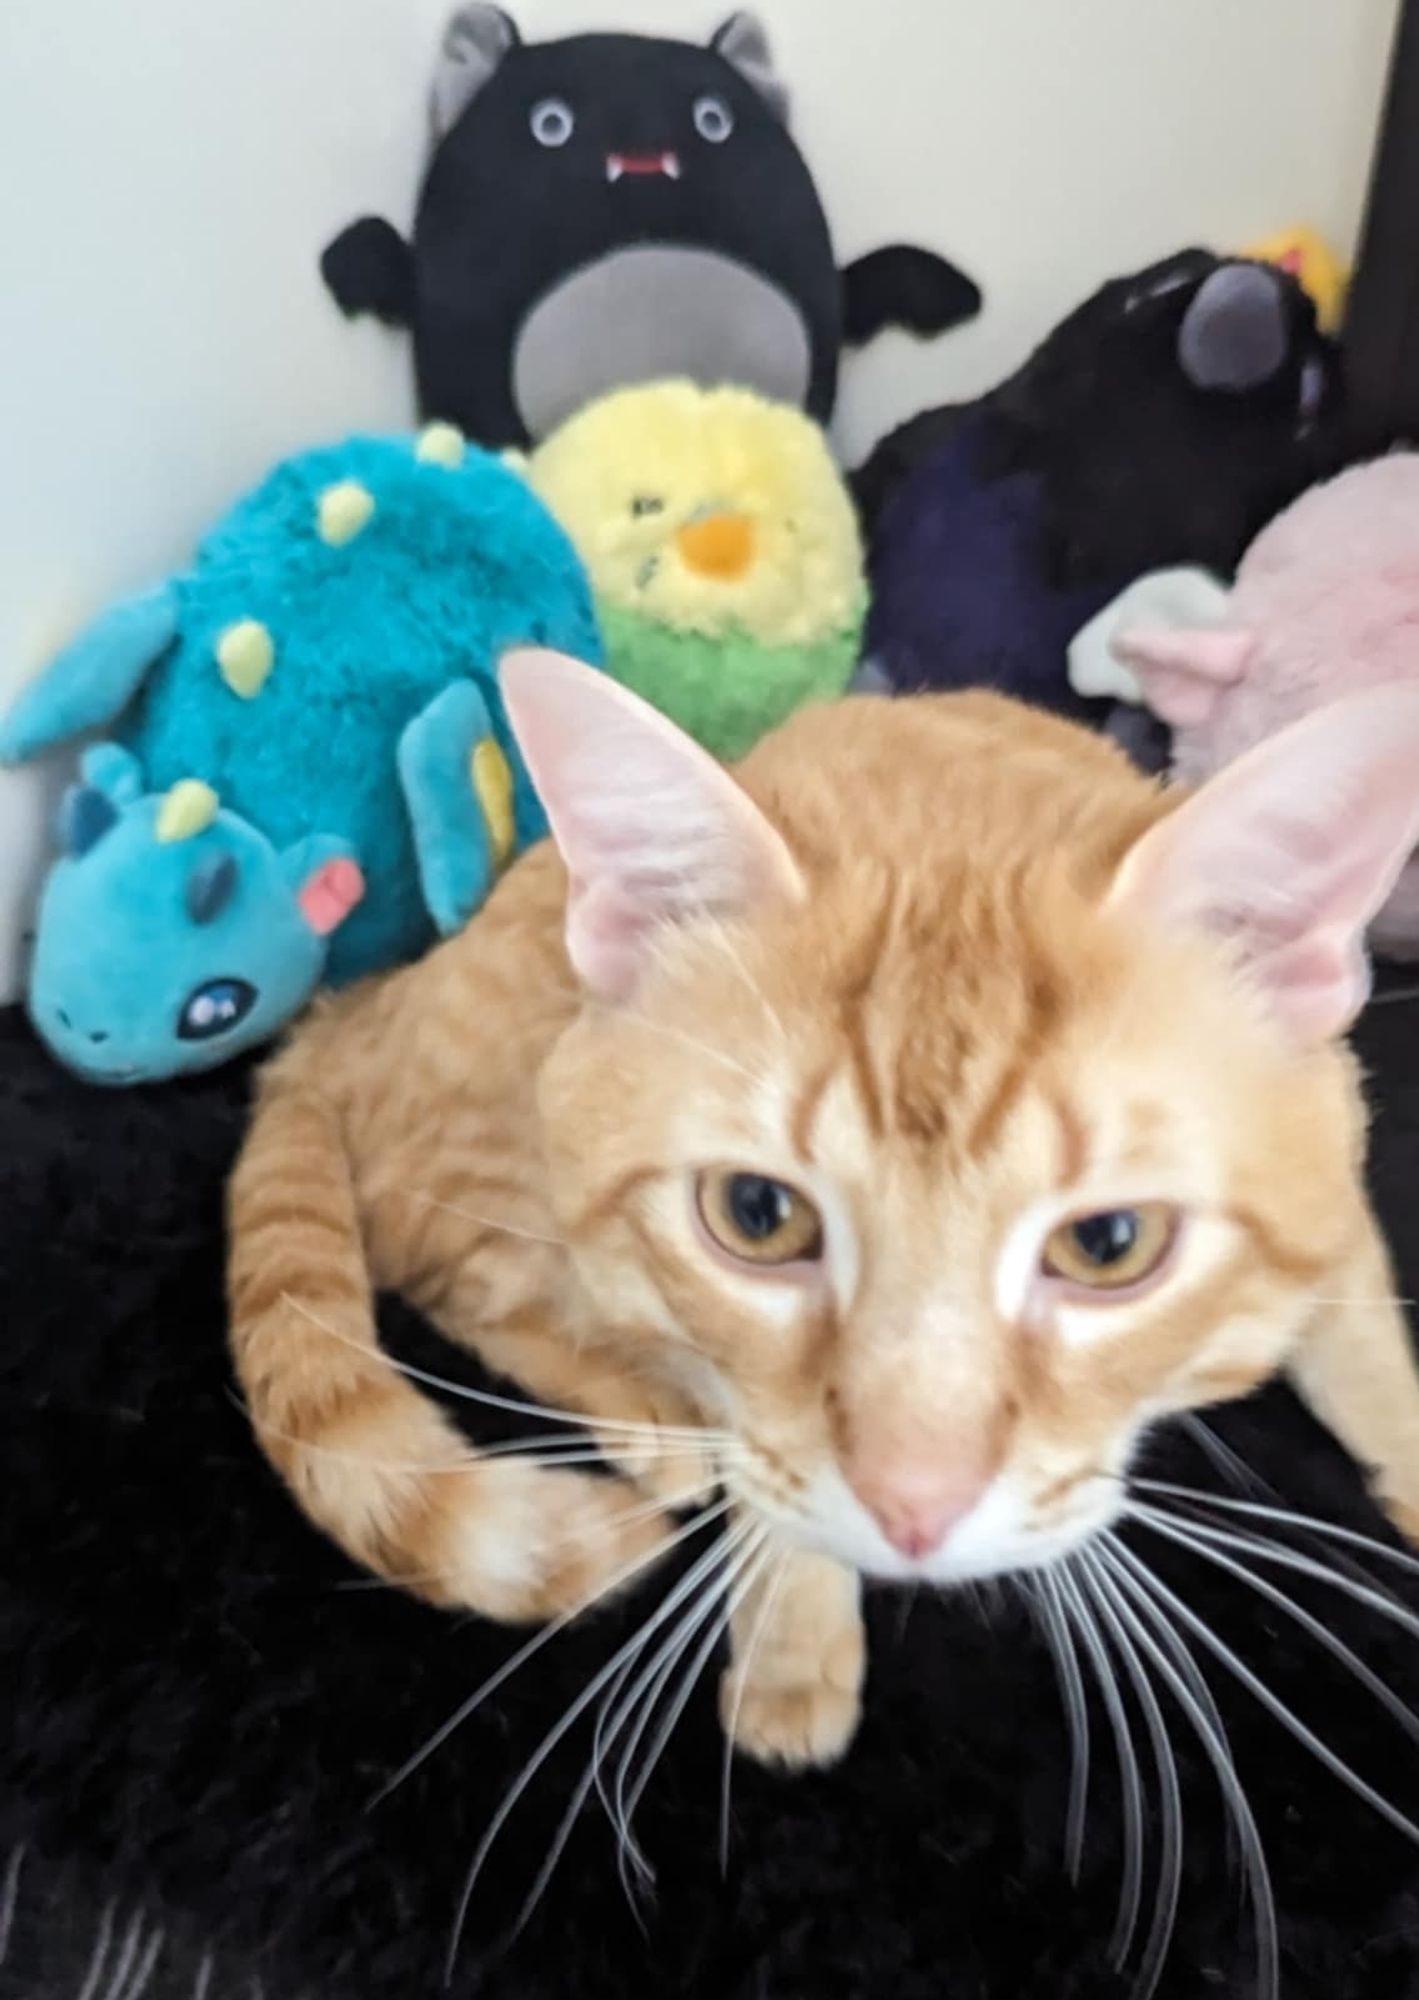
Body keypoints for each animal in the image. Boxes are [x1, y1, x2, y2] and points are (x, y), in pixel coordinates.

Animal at [224, 656, 1419, 1768]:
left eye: (1108, 1243)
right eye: (758, 1215)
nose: (912, 1510)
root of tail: (361, 1002)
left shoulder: (1336, 1193)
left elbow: (1362, 1337)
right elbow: (760, 1443)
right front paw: (792, 1633)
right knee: (451, 1272)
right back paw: (647, 1409)